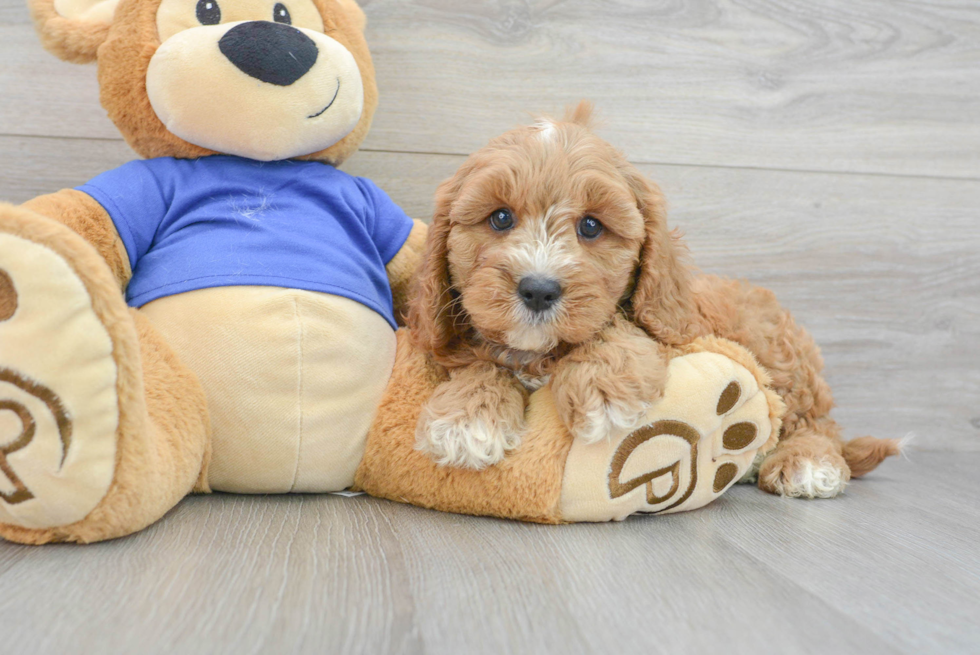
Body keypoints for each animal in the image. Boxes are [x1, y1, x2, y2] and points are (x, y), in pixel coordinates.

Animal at [402, 102, 900, 500]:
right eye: (500, 218)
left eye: (591, 226)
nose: (539, 289)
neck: (542, 354)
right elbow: (483, 362)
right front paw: (466, 418)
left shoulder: (678, 335)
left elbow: (616, 326)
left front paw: (604, 391)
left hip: (783, 358)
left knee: (816, 423)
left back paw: (807, 463)